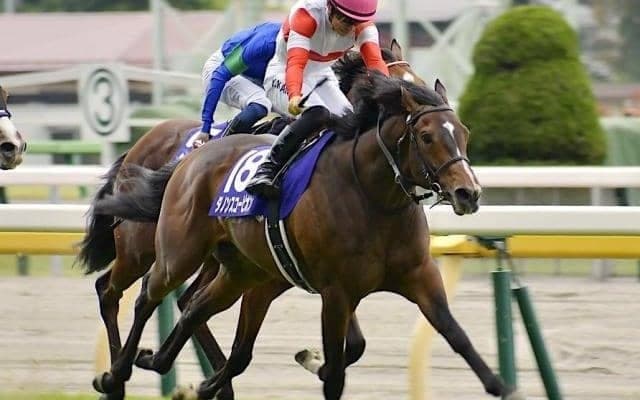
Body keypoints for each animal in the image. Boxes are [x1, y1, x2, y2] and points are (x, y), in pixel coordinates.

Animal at [77, 40, 423, 400]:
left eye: (418, 82)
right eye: (393, 87)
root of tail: (139, 145)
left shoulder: (316, 270)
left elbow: (354, 343)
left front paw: (313, 358)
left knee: (181, 300)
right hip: (143, 249)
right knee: (112, 291)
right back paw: (115, 380)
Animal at [91, 72, 522, 400]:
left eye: (463, 132)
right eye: (428, 136)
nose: (468, 193)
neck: (373, 196)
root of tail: (192, 156)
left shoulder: (418, 276)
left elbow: (454, 333)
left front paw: (501, 386)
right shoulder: (335, 292)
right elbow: (336, 371)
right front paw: (314, 363)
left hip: (240, 271)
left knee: (193, 307)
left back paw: (164, 366)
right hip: (173, 252)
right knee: (137, 293)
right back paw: (116, 374)